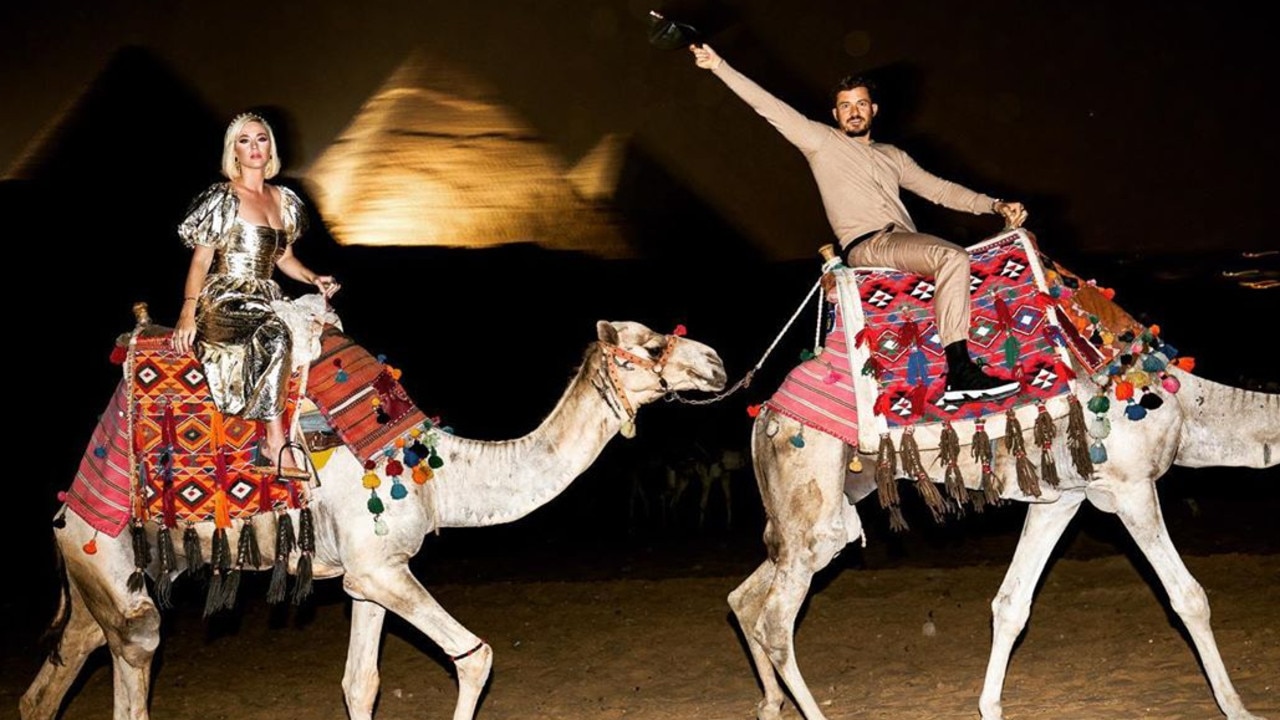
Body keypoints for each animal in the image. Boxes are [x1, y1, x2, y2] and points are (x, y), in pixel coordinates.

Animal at [20, 317, 727, 717]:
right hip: (110, 563)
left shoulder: (370, 577)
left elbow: (360, 684)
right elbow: (475, 657)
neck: (437, 476)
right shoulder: (381, 568)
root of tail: (64, 512)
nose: (717, 363)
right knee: (136, 648)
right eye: (654, 345)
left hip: (100, 583)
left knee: (57, 673)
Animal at [737, 351, 1274, 712]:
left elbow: (1012, 604)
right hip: (814, 496)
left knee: (745, 597)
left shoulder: (1063, 497)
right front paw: (1238, 706)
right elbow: (1189, 597)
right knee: (775, 619)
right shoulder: (1131, 487)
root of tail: (762, 416)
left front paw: (989, 707)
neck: (1189, 407)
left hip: (816, 511)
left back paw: (769, 705)